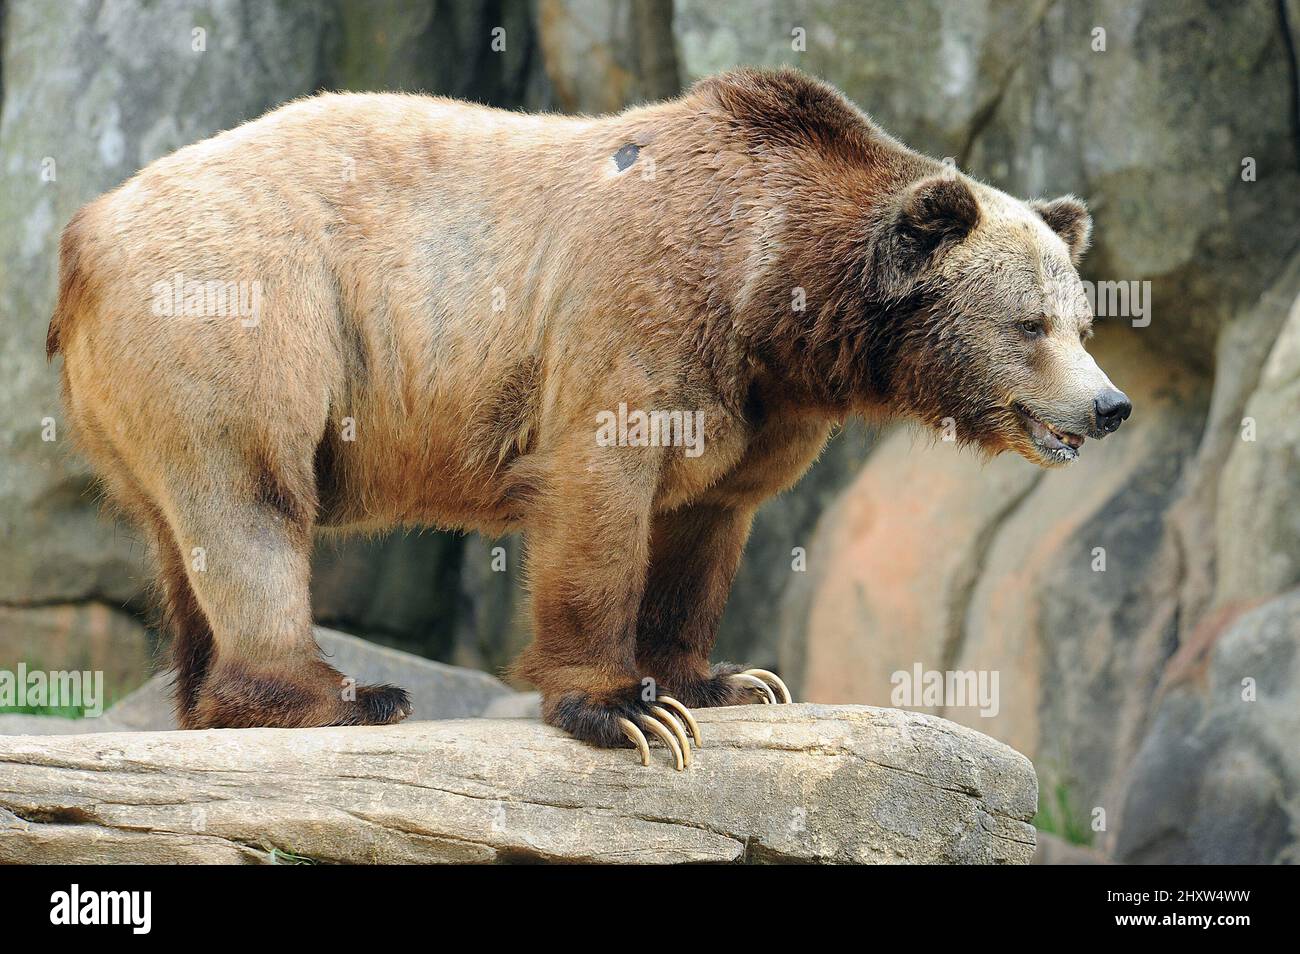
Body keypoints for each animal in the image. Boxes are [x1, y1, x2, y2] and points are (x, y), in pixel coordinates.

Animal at [46, 68, 1130, 769]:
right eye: (1030, 323)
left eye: (1083, 317)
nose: (1109, 404)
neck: (778, 291)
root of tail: (86, 229)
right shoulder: (640, 310)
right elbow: (599, 496)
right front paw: (622, 711)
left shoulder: (757, 403)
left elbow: (703, 526)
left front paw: (725, 682)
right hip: (246, 311)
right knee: (250, 501)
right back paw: (339, 694)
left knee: (184, 532)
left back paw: (211, 699)